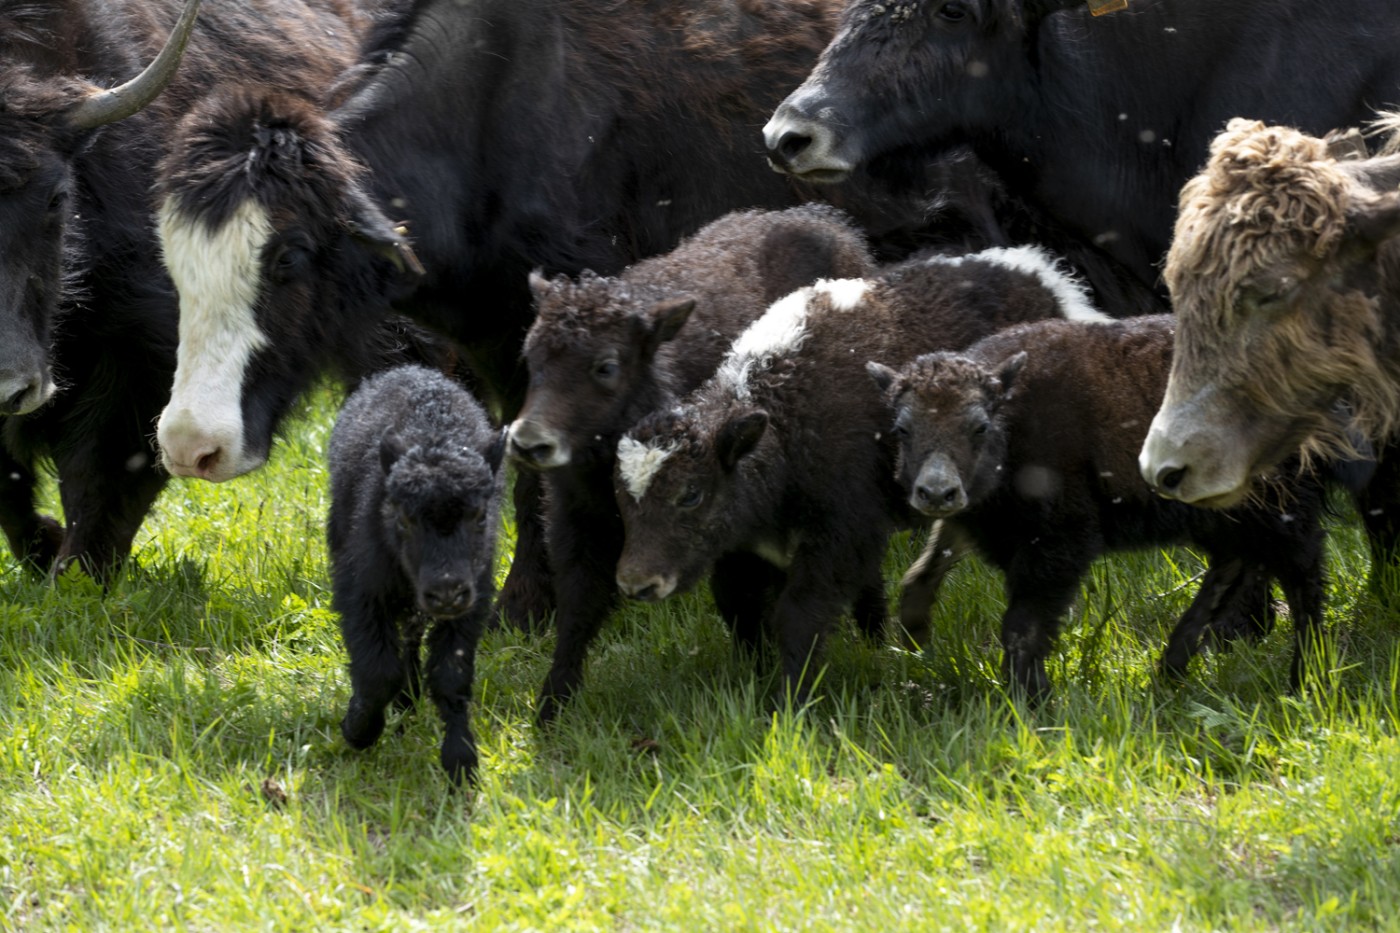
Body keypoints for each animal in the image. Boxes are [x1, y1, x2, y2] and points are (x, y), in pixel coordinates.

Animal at [324, 361, 506, 778]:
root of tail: (408, 369)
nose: (446, 591)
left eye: (480, 515)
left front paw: (460, 762)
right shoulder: (361, 593)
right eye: (404, 518)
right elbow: (377, 671)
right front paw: (358, 729)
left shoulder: (473, 601)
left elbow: (450, 675)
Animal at [613, 246, 1114, 706]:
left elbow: (801, 614)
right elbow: (744, 607)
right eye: (623, 498)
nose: (636, 584)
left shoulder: (841, 539)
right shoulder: (746, 549)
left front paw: (789, 701)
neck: (788, 419)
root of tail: (1050, 282)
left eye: (690, 494)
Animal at [868, 313, 1327, 697]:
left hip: (1281, 511)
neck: (1015, 421)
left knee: (1302, 579)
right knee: (1237, 565)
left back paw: (1304, 679)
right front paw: (913, 640)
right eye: (903, 429)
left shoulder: (1059, 540)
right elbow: (923, 572)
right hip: (1232, 516)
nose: (936, 493)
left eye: (979, 426)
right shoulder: (980, 517)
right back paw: (1173, 668)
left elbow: (1022, 626)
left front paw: (1029, 698)